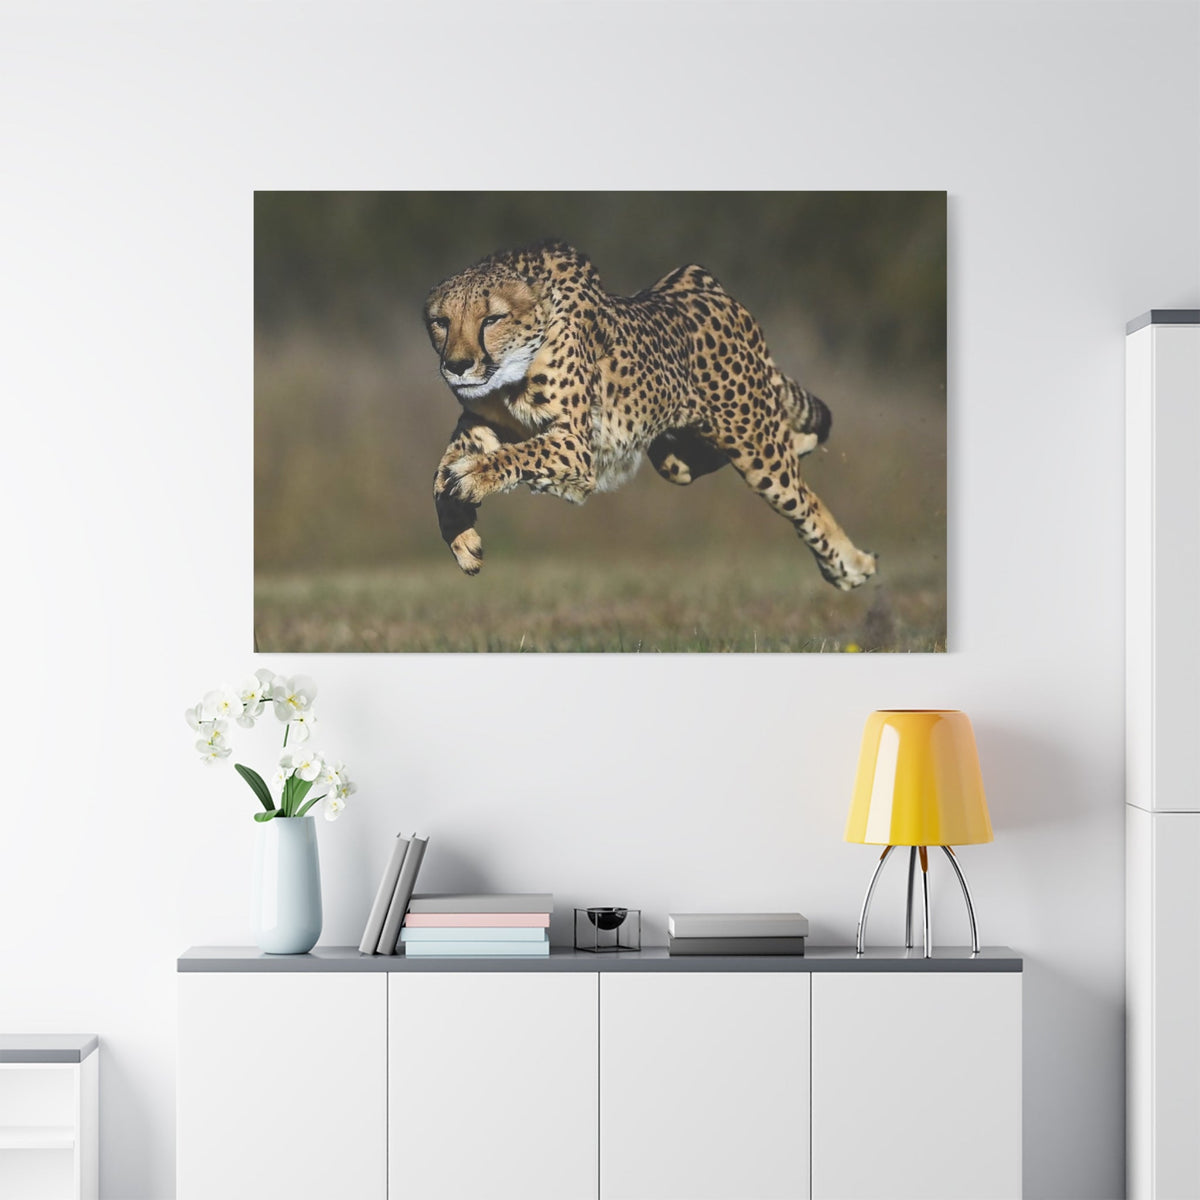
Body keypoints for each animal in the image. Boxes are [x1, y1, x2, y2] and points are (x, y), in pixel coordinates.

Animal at [425, 240, 877, 590]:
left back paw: (851, 565)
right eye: (441, 322)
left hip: (755, 447)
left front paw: (475, 476)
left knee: (804, 498)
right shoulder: (479, 423)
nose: (457, 366)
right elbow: (440, 475)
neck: (508, 375)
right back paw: (803, 444)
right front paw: (461, 536)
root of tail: (704, 283)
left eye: (492, 319)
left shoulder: (576, 446)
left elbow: (513, 456)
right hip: (674, 457)